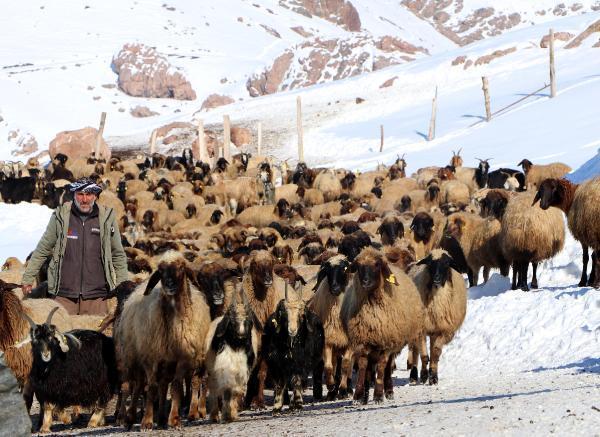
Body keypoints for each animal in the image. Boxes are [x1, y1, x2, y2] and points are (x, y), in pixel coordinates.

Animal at [115, 250, 211, 428]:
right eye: (160, 271)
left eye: (181, 268)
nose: (169, 285)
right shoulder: (151, 357)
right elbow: (151, 388)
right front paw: (146, 421)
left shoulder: (182, 359)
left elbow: (175, 387)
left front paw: (173, 419)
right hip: (135, 357)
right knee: (138, 385)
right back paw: (130, 418)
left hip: (167, 363)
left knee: (163, 386)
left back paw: (161, 418)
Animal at [205, 282, 258, 422]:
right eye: (232, 321)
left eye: (248, 321)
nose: (241, 335)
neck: (236, 346)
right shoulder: (224, 368)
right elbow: (226, 390)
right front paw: (227, 414)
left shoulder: (242, 371)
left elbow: (234, 391)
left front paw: (231, 413)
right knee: (213, 389)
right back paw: (214, 416)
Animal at [308, 254, 354, 400]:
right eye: (327, 271)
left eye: (344, 269)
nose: (335, 289)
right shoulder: (327, 341)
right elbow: (328, 367)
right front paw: (330, 386)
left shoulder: (350, 343)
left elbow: (345, 365)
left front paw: (343, 390)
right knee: (334, 365)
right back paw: (332, 392)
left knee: (348, 367)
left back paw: (348, 388)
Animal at [340, 247, 424, 404]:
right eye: (358, 265)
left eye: (377, 264)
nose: (365, 281)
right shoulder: (363, 341)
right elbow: (363, 366)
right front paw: (359, 395)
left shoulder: (386, 342)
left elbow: (381, 367)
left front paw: (379, 395)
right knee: (369, 368)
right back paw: (366, 395)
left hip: (393, 342)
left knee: (387, 367)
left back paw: (389, 391)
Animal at [408, 247, 468, 384]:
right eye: (430, 263)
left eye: (446, 263)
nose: (436, 278)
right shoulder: (421, 329)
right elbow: (424, 356)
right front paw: (424, 375)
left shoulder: (445, 330)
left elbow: (435, 353)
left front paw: (433, 377)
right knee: (415, 351)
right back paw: (414, 375)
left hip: (433, 331)